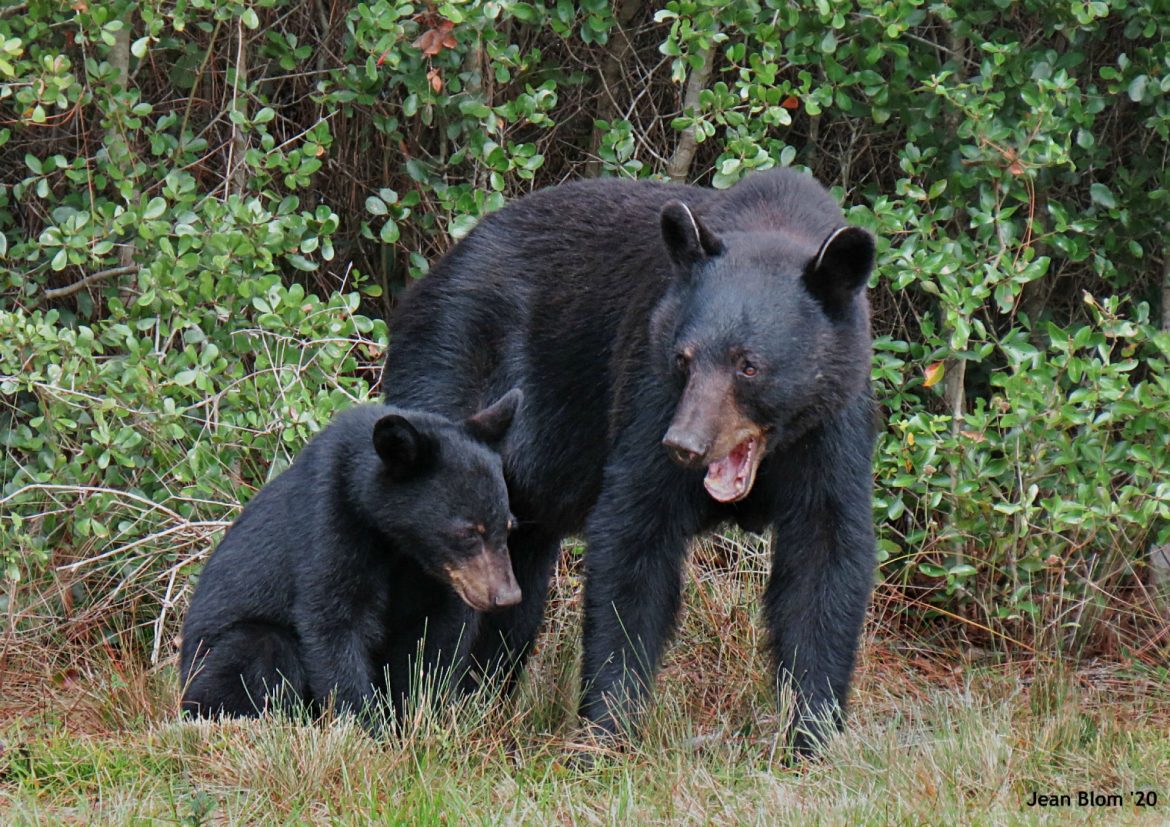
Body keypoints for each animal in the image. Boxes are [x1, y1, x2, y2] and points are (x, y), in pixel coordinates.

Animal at [179, 390, 523, 726]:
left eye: (508, 526)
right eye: (468, 532)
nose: (507, 596)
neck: (398, 544)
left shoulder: (439, 577)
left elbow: (436, 640)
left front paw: (423, 718)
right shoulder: (330, 520)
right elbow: (333, 620)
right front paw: (366, 726)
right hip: (210, 663)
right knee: (259, 649)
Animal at [381, 168, 876, 756]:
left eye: (749, 366)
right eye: (684, 358)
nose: (685, 444)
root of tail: (427, 279)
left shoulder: (833, 430)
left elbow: (825, 559)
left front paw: (811, 735)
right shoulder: (650, 390)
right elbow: (634, 537)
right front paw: (606, 733)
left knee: (516, 589)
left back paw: (476, 702)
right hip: (451, 370)